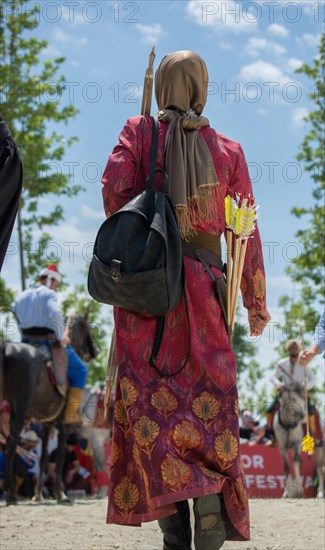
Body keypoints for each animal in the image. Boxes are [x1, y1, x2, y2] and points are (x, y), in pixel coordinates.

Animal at [0, 316, 96, 506]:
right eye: (87, 328)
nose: (94, 351)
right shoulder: (64, 427)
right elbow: (59, 457)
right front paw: (61, 494)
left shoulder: (47, 425)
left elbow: (44, 457)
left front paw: (38, 495)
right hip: (18, 410)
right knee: (10, 445)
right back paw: (10, 494)